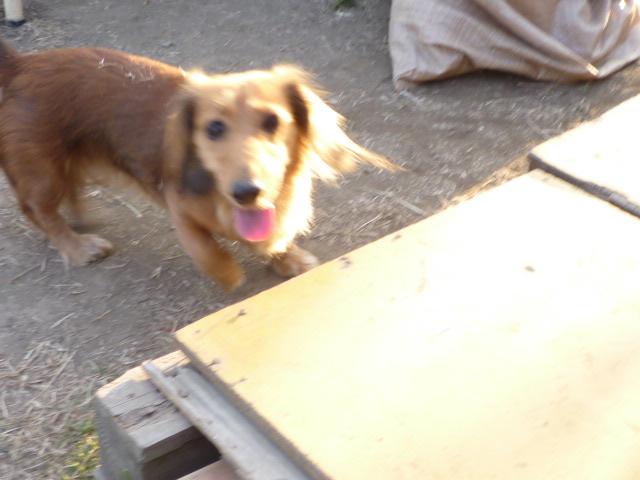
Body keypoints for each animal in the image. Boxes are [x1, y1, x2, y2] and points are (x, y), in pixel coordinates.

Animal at [0, 41, 393, 291]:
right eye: (214, 129)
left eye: (272, 121)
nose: (247, 192)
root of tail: (21, 64)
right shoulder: (180, 209)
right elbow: (208, 250)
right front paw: (230, 274)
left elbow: (270, 238)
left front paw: (288, 259)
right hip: (44, 171)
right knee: (40, 211)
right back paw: (78, 246)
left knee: (66, 194)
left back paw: (83, 219)